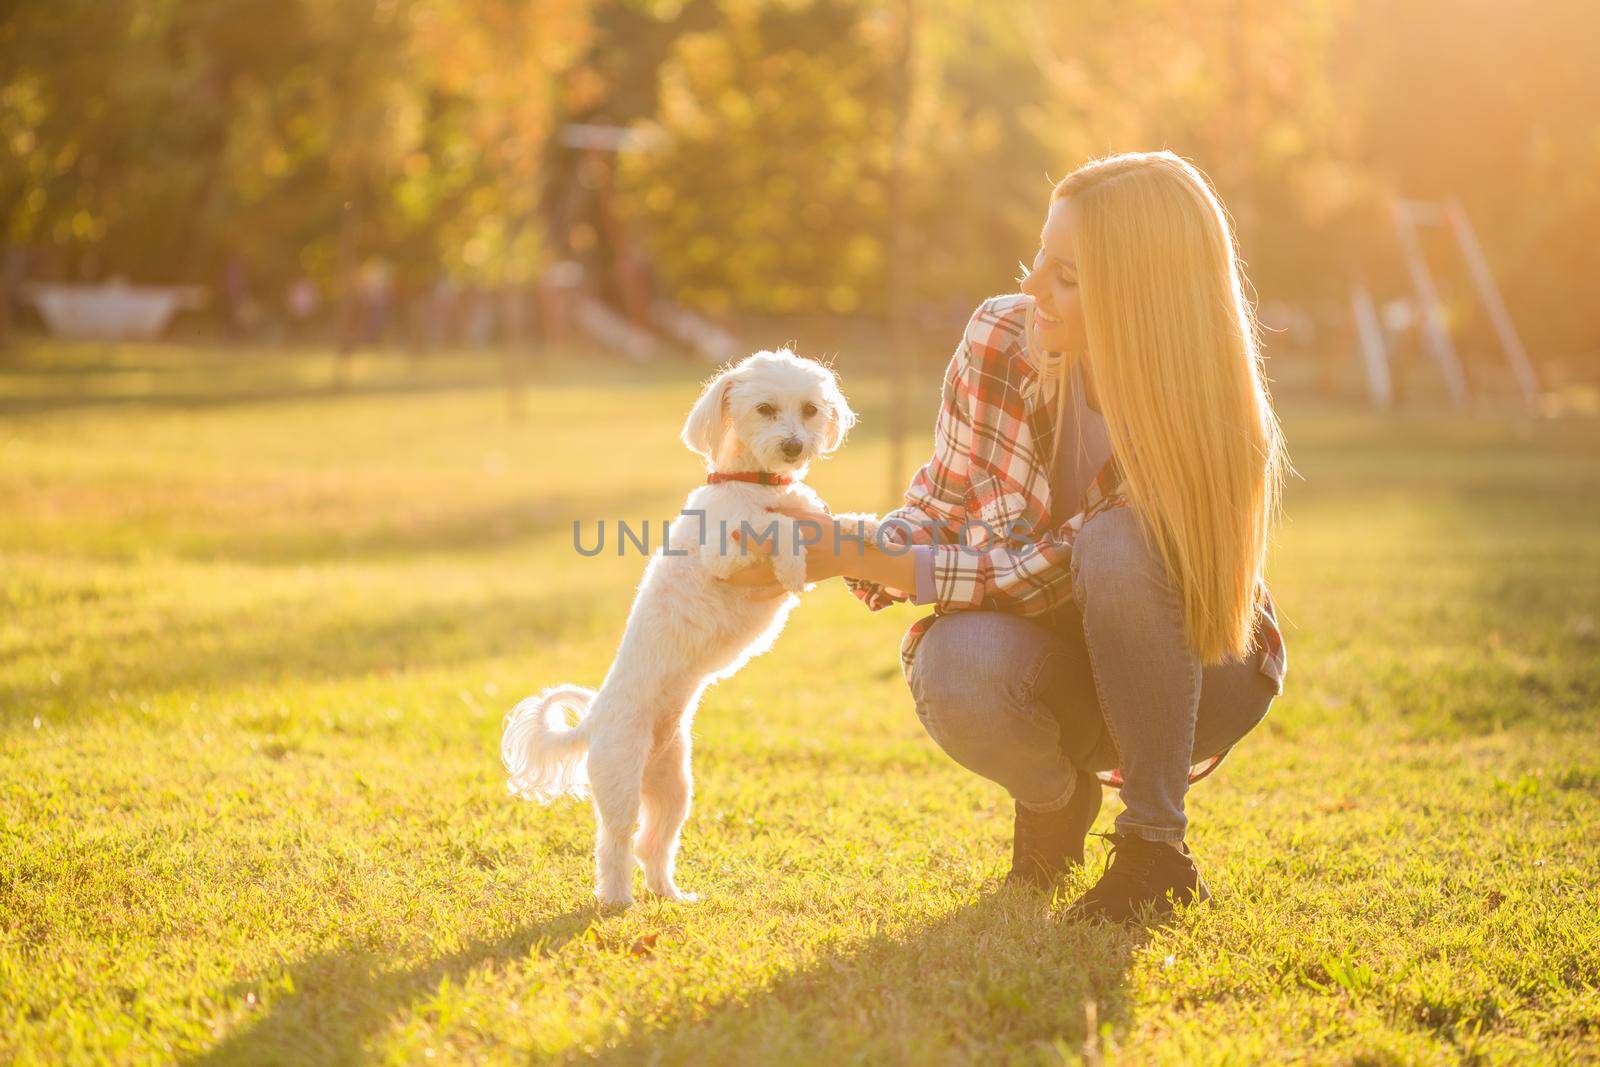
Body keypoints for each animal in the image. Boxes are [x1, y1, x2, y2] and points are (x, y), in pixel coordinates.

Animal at [499, 351, 876, 908]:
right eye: (765, 409)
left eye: (810, 409)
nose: (794, 444)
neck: (754, 484)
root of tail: (594, 719)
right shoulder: (726, 552)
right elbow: (777, 526)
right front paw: (790, 564)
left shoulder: (815, 518)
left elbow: (833, 521)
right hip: (620, 778)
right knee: (615, 842)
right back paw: (618, 899)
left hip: (673, 785)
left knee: (654, 842)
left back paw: (670, 893)